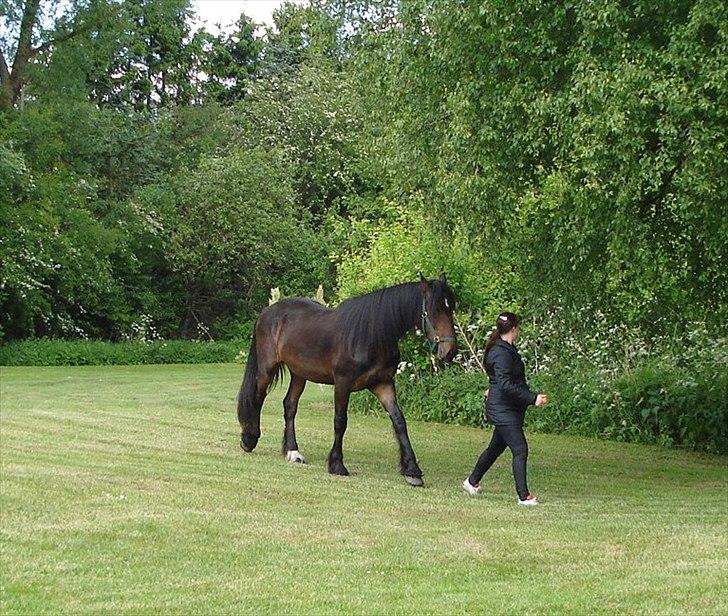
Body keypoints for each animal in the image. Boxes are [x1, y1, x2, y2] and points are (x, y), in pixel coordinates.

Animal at [236, 274, 458, 486]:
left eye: (451, 308)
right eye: (435, 309)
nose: (450, 352)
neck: (370, 335)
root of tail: (267, 312)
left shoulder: (383, 384)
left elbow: (399, 421)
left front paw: (412, 470)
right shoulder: (343, 384)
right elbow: (340, 421)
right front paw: (336, 464)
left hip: (299, 373)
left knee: (290, 405)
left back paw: (293, 451)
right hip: (267, 368)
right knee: (257, 397)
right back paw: (249, 439)